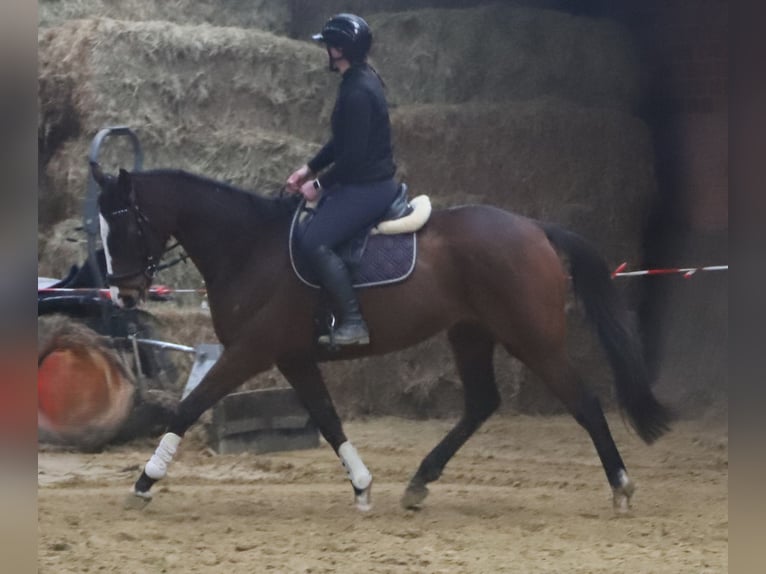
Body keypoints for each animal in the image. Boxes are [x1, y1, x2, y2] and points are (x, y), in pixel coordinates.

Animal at [91, 164, 672, 514]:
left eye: (124, 225)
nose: (123, 294)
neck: (249, 246)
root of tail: (534, 228)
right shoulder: (294, 357)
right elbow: (328, 420)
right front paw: (363, 486)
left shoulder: (250, 351)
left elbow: (190, 407)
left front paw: (144, 482)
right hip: (471, 333)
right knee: (482, 402)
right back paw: (419, 482)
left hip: (532, 338)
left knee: (585, 401)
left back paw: (621, 486)